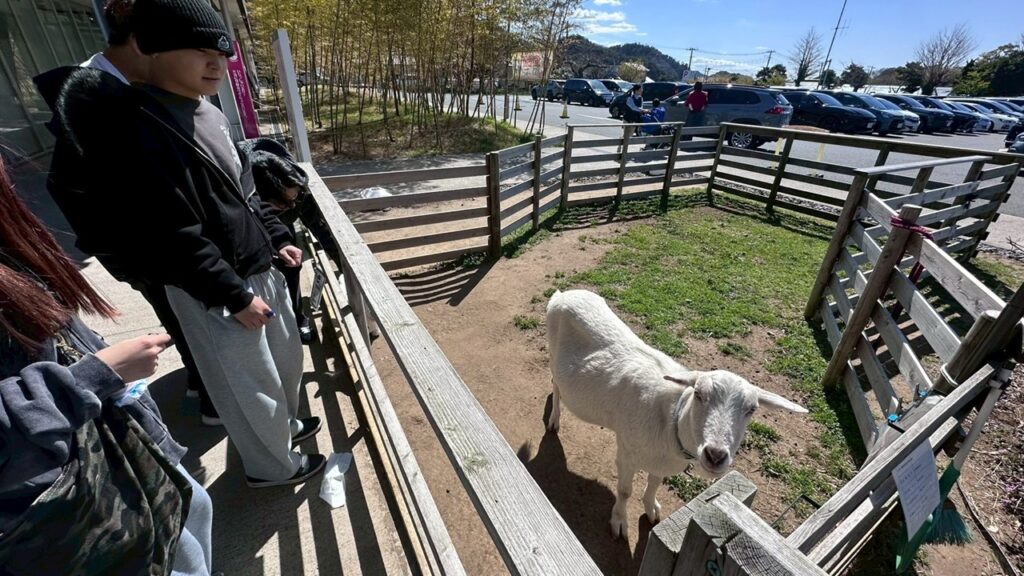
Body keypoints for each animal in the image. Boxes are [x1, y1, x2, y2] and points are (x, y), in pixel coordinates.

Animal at [545, 289, 808, 538]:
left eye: (752, 409)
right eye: (699, 394)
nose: (715, 455)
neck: (671, 422)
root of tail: (563, 294)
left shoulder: (661, 462)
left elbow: (654, 482)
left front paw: (651, 508)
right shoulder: (627, 451)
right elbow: (625, 491)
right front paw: (619, 522)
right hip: (553, 354)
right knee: (556, 386)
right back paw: (554, 420)